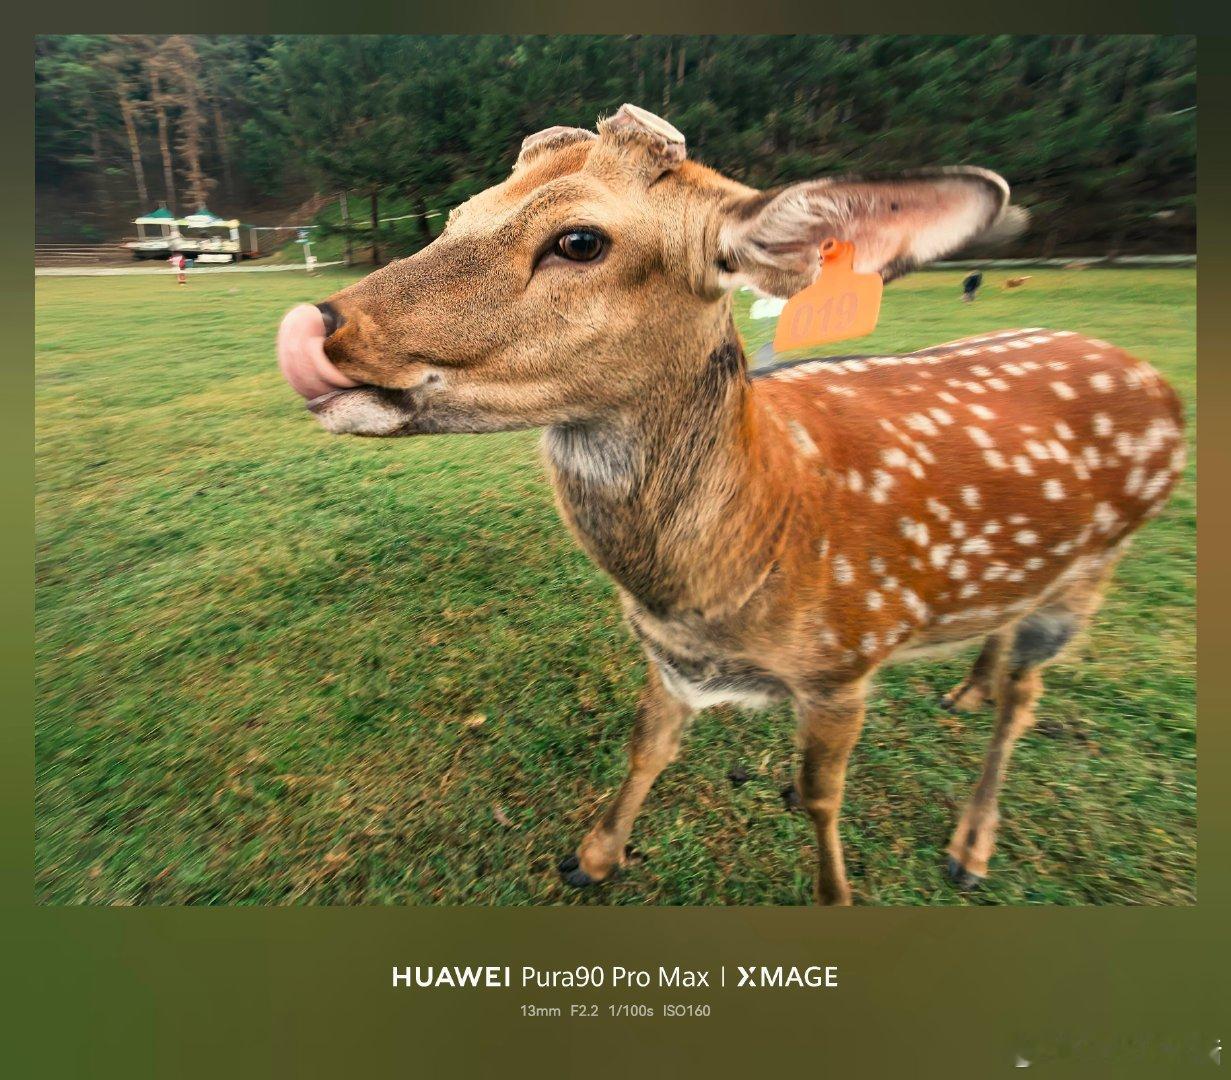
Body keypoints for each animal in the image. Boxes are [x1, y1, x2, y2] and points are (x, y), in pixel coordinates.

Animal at [277, 104, 1185, 904]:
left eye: (579, 240)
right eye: (458, 214)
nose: (315, 326)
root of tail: (1158, 382)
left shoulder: (847, 661)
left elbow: (821, 798)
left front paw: (834, 893)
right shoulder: (670, 659)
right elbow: (647, 748)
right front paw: (591, 857)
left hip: (1093, 569)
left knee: (1027, 699)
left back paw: (971, 845)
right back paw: (965, 691)